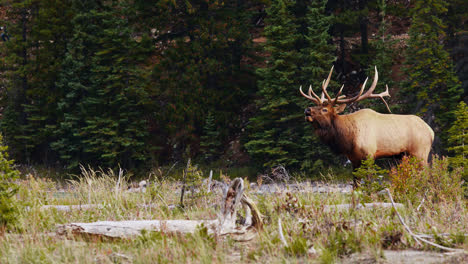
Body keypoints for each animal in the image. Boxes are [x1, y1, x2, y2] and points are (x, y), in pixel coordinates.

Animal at [300, 66, 436, 177]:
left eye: (324, 109)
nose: (307, 110)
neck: (348, 138)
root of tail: (431, 131)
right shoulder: (353, 159)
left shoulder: (369, 155)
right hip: (404, 155)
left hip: (420, 152)